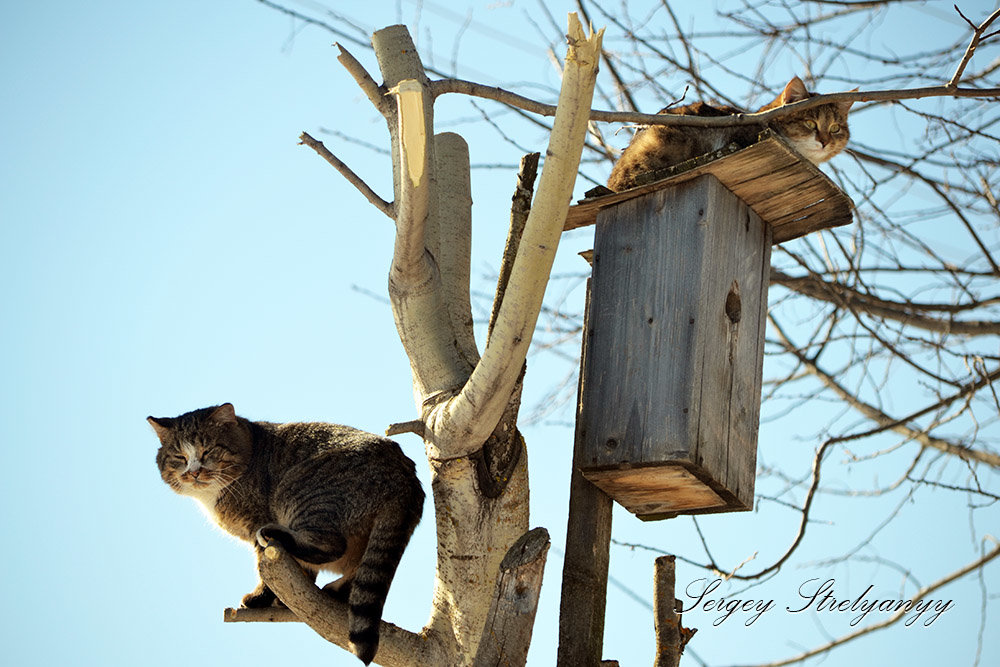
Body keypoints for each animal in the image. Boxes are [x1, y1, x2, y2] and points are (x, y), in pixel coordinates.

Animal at [150, 404, 424, 664]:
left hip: (298, 492)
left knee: (331, 546)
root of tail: (403, 476)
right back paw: (337, 588)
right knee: (359, 563)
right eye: (180, 457)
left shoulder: (259, 520)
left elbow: (263, 564)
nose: (193, 472)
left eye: (207, 452)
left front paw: (260, 597)